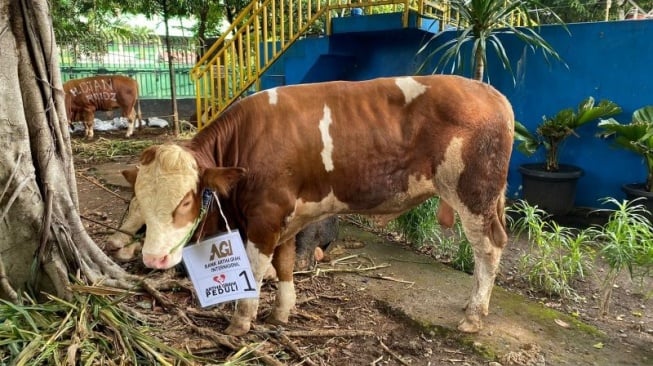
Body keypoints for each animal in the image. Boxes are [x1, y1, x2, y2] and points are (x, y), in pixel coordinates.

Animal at [118, 76, 516, 336]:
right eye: (139, 198)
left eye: (186, 199)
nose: (153, 259)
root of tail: (491, 92)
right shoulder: (287, 216)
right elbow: (284, 264)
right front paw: (281, 313)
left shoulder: (265, 216)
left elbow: (256, 270)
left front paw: (240, 321)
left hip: (474, 194)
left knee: (489, 248)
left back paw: (474, 315)